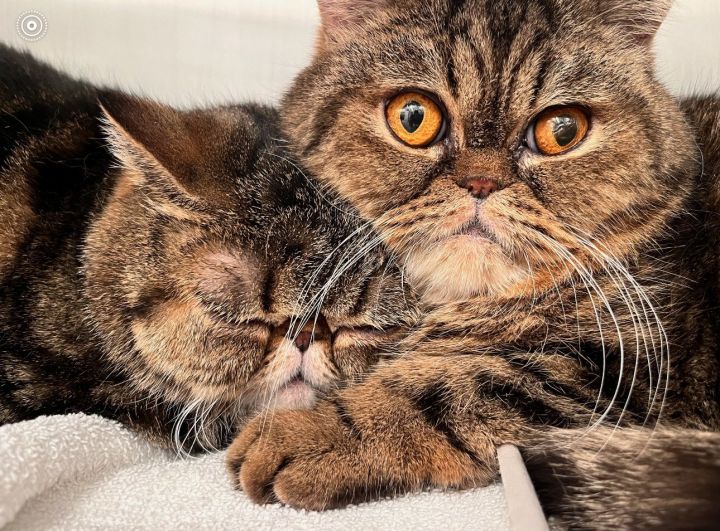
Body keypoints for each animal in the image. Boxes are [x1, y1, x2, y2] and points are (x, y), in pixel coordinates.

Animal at [229, 0, 720, 528]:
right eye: (413, 117)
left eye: (563, 130)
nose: (482, 183)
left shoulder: (613, 368)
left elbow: (449, 389)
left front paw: (310, 432)